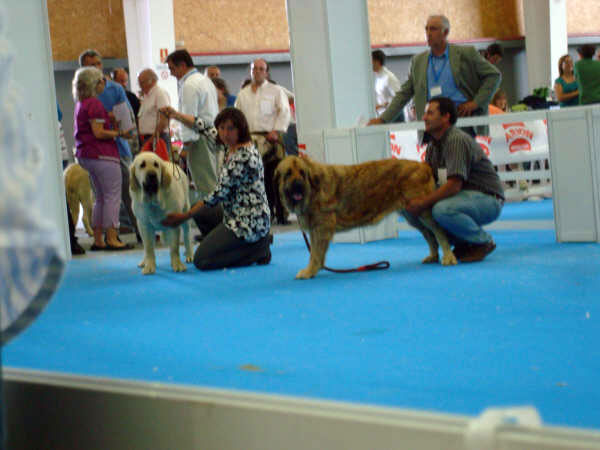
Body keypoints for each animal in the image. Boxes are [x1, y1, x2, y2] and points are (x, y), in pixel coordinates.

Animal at [274, 156, 458, 280]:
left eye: (302, 173)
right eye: (288, 174)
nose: (298, 185)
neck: (312, 189)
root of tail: (423, 165)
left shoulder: (321, 227)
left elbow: (315, 253)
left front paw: (309, 271)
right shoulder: (316, 228)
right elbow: (315, 252)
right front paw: (314, 269)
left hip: (423, 210)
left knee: (438, 231)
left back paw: (448, 257)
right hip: (412, 213)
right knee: (429, 235)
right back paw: (433, 256)